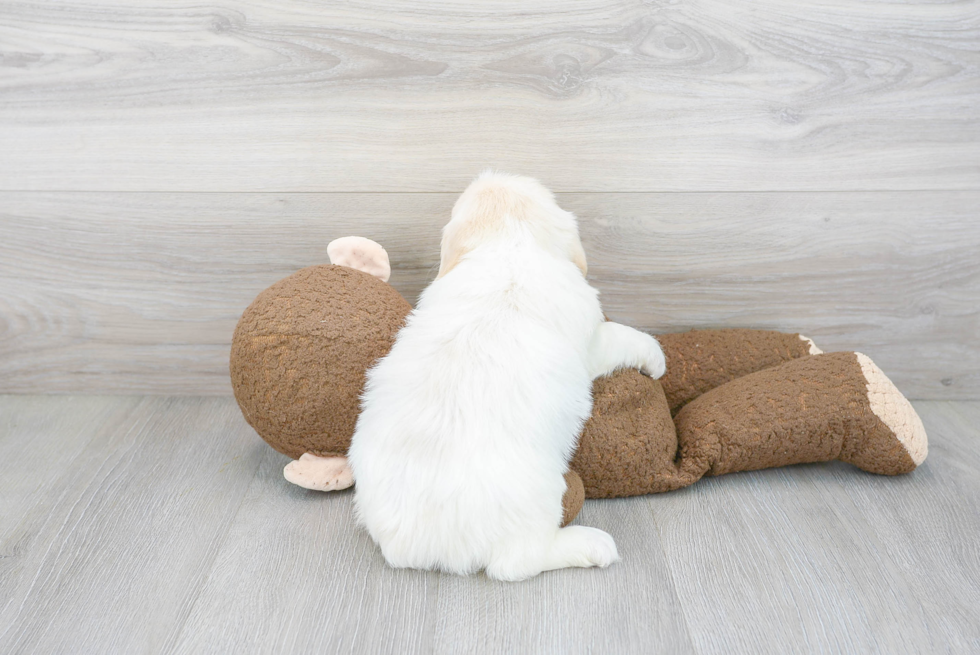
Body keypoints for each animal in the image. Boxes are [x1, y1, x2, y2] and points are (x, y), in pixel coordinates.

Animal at [346, 172, 668, 580]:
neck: (508, 247)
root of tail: (423, 547)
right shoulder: (594, 341)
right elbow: (623, 336)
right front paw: (656, 358)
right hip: (539, 504)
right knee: (517, 564)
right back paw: (590, 545)